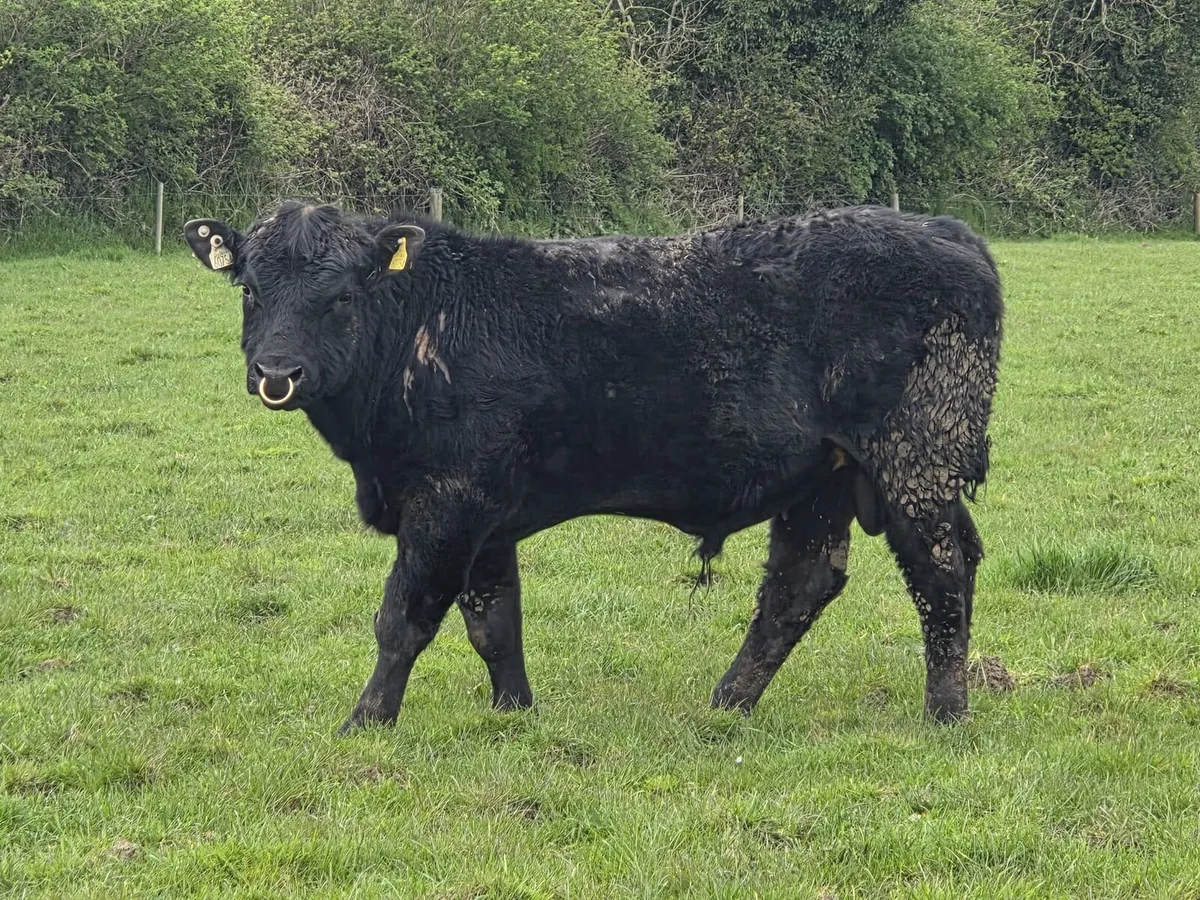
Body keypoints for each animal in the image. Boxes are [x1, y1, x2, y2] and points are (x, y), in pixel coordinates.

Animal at [183, 201, 1003, 733]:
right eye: (250, 288)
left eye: (343, 295)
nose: (276, 373)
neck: (424, 325)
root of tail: (944, 230)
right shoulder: (487, 514)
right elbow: (494, 620)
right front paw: (514, 711)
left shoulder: (447, 499)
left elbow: (404, 615)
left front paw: (367, 719)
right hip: (823, 477)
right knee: (801, 584)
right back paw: (727, 703)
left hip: (916, 460)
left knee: (941, 570)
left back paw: (946, 712)